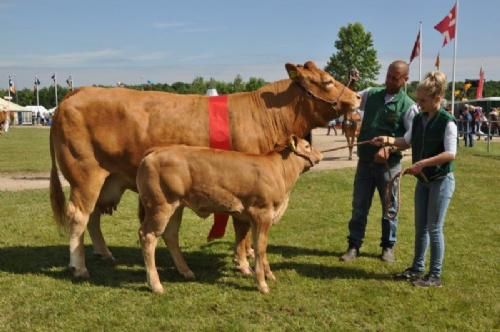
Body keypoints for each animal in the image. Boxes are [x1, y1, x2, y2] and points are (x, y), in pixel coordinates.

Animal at [49, 59, 360, 278]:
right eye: (328, 81)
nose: (357, 97)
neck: (266, 116)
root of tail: (78, 92)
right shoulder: (247, 187)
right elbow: (241, 227)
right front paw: (244, 263)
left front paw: (246, 257)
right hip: (85, 174)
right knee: (78, 215)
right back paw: (79, 267)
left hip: (108, 179)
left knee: (93, 217)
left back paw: (104, 253)